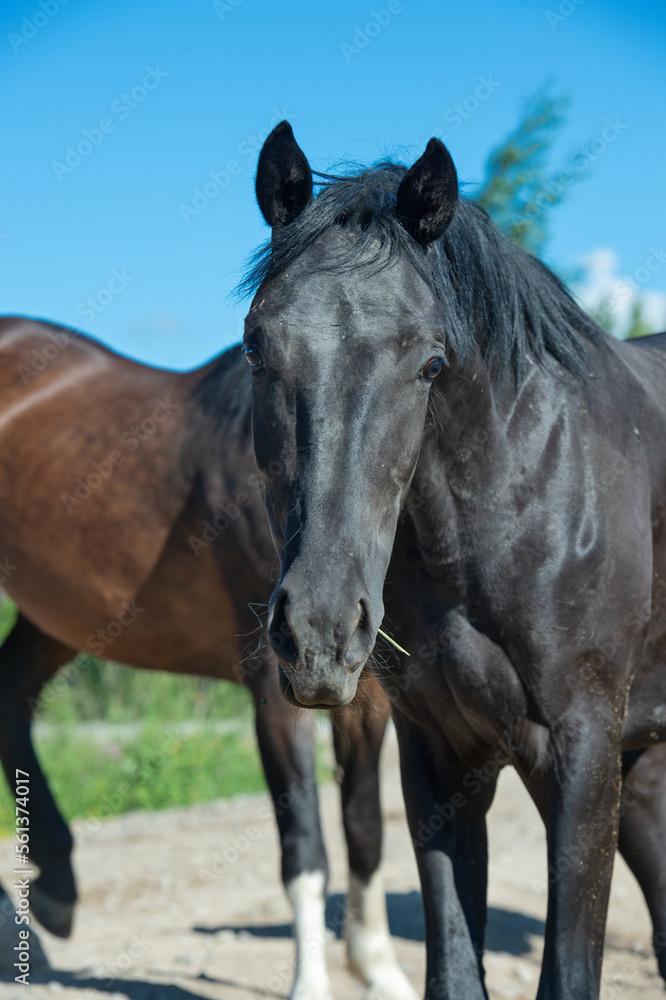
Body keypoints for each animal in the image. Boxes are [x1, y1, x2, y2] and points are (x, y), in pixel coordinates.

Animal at [0, 317, 417, 1000]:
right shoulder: (279, 688)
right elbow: (306, 849)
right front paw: (312, 984)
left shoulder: (368, 697)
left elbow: (366, 830)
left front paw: (379, 969)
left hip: (60, 615)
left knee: (12, 694)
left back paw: (59, 884)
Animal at [240, 120, 666, 999]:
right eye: (257, 348)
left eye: (431, 362)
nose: (320, 634)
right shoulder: (438, 757)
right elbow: (455, 970)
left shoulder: (582, 752)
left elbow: (567, 973)